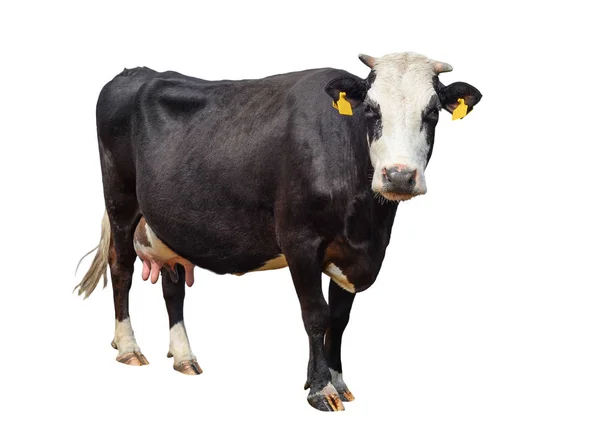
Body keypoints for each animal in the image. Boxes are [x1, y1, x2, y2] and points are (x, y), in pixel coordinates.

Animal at [76, 51, 482, 412]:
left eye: (432, 113)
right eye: (370, 109)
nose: (399, 176)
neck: (367, 223)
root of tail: (136, 72)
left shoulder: (352, 253)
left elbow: (340, 320)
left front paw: (338, 382)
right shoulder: (299, 240)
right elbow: (316, 315)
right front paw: (320, 389)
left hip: (169, 222)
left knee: (173, 287)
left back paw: (184, 356)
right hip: (120, 200)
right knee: (122, 268)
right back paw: (129, 348)